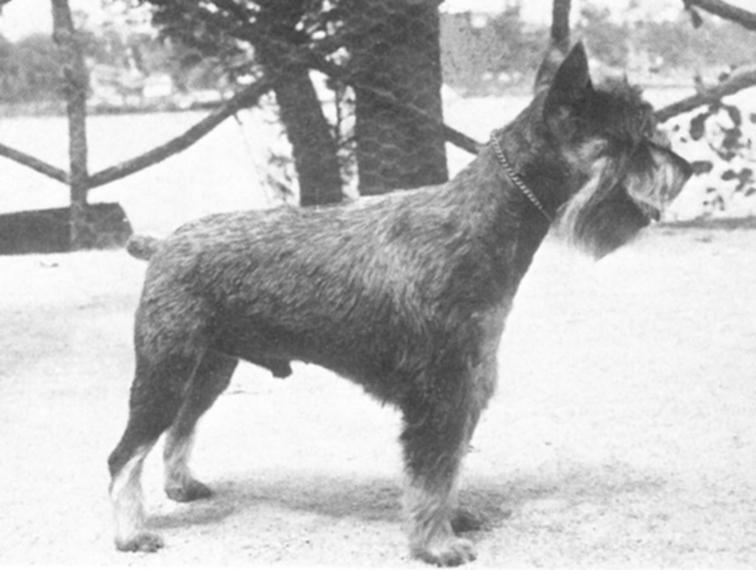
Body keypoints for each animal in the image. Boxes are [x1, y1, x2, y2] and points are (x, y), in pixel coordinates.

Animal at [107, 43, 691, 566]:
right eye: (636, 137)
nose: (687, 169)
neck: (483, 218)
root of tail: (163, 244)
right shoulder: (440, 392)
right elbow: (431, 473)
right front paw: (437, 544)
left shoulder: (465, 390)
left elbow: (448, 469)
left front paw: (452, 518)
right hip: (165, 372)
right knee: (125, 454)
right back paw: (131, 534)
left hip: (209, 371)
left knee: (179, 428)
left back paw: (181, 487)